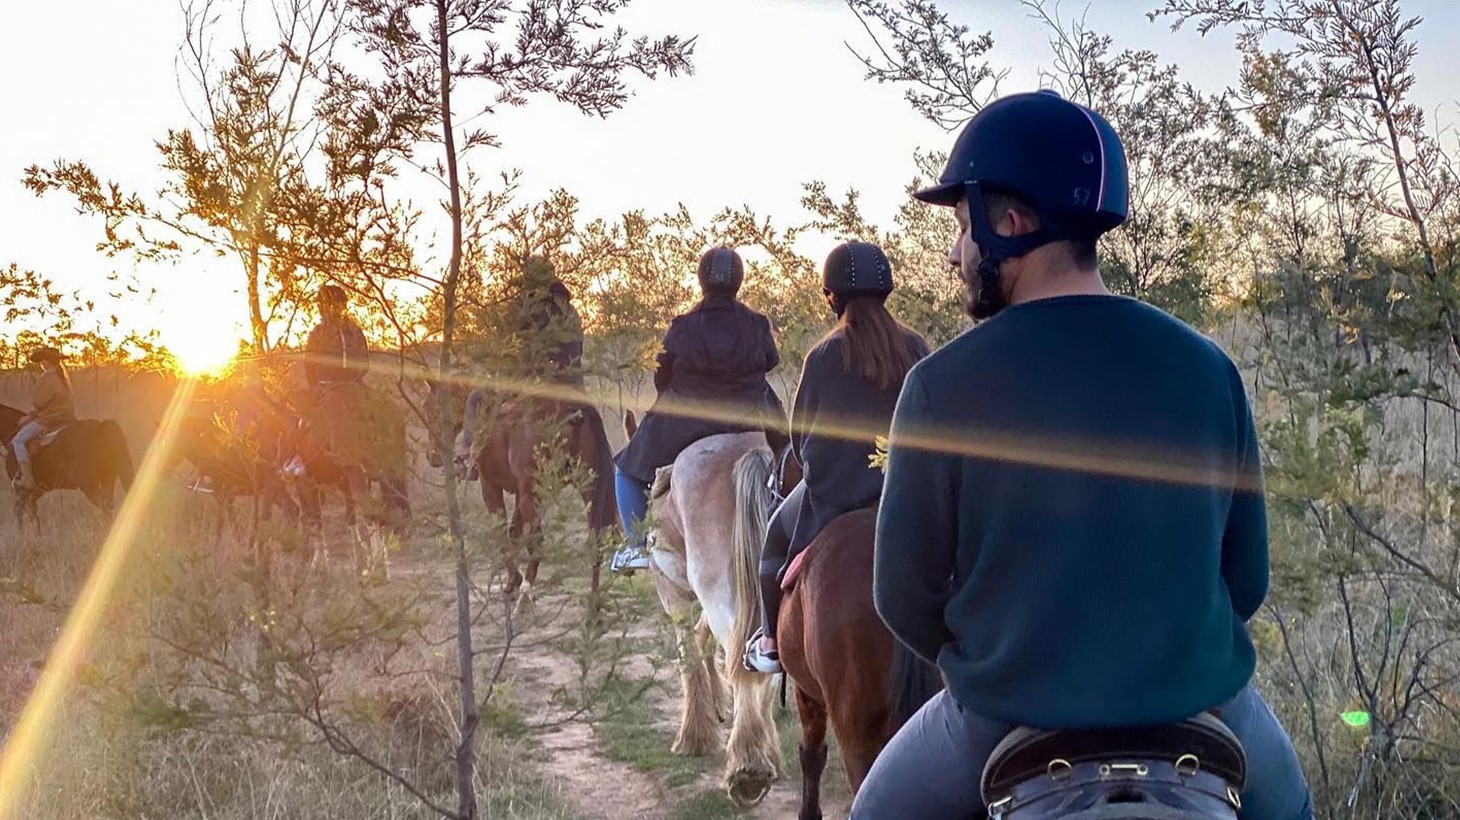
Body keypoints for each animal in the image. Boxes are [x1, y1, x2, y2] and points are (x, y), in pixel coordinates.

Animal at [0, 402, 135, 525]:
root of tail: (100, 426)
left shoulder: (22, 491)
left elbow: (25, 515)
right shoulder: (36, 492)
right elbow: (29, 515)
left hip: (90, 487)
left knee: (105, 510)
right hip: (107, 480)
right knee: (109, 509)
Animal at [425, 378, 618, 601]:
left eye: (430, 407)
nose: (432, 456)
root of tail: (573, 410)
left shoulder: (490, 486)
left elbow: (501, 533)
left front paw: (514, 580)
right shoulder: (520, 493)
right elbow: (513, 533)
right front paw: (511, 580)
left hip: (532, 493)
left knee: (538, 540)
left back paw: (527, 588)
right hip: (586, 486)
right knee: (596, 538)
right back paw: (593, 599)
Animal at [637, 426, 784, 808]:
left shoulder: (671, 592)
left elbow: (687, 655)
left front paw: (695, 736)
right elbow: (702, 642)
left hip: (716, 586)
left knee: (743, 664)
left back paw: (748, 768)